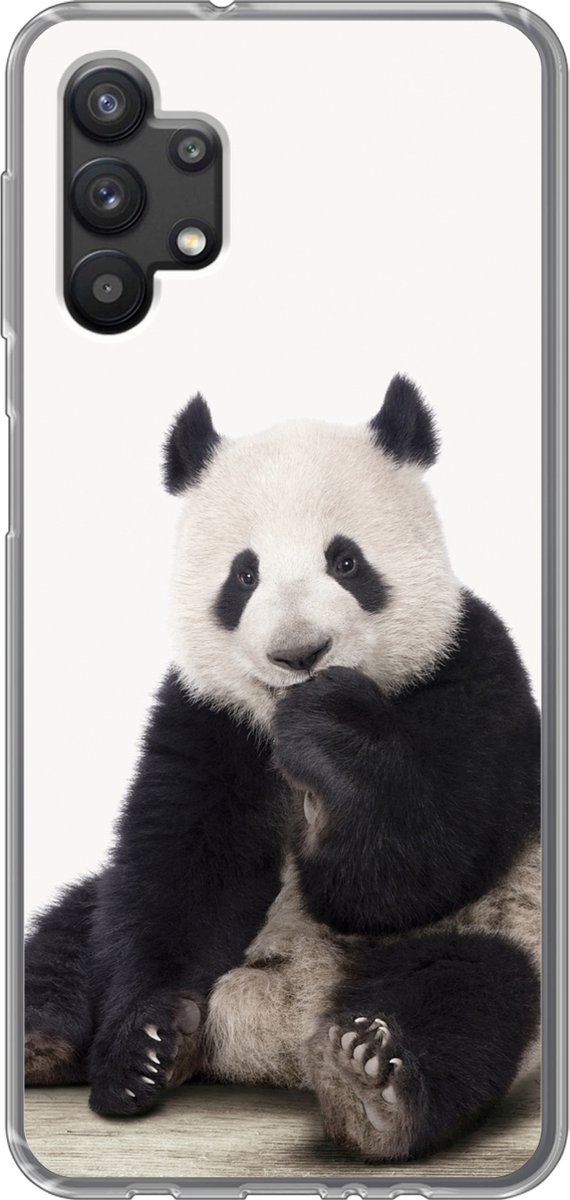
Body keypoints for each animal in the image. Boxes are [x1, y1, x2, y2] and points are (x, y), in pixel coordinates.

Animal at [25, 375, 540, 1162]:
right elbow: (178, 873)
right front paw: (140, 1049)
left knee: (472, 994)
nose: (300, 654)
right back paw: (45, 1041)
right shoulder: (207, 717)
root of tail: (277, 1040)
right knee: (71, 928)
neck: (276, 721)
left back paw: (372, 1087)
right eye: (244, 574)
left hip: (501, 930)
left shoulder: (470, 668)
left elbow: (417, 867)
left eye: (347, 562)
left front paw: (331, 730)